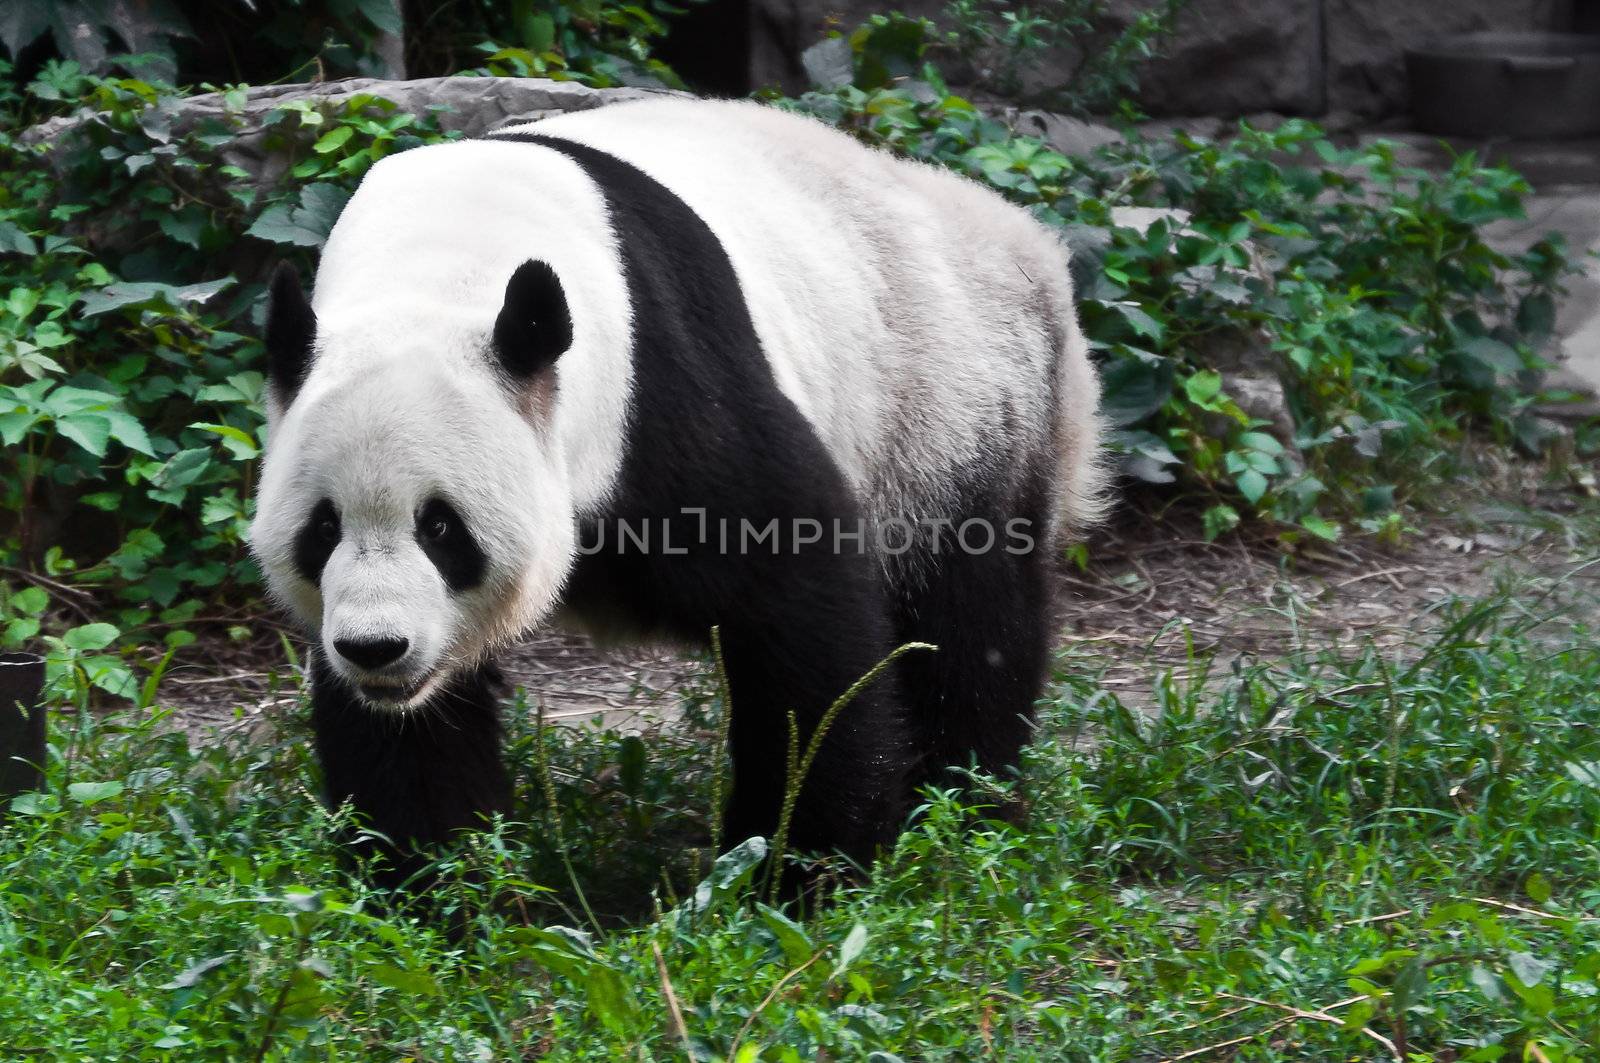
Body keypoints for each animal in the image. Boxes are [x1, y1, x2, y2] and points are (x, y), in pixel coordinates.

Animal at [249, 95, 1107, 890]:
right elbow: (408, 730)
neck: (443, 262)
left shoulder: (666, 387)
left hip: (950, 403)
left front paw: (799, 866)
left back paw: (965, 806)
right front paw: (431, 885)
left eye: (441, 527)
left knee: (968, 618)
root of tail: (1025, 242)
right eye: (322, 529)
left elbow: (797, 610)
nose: (377, 647)